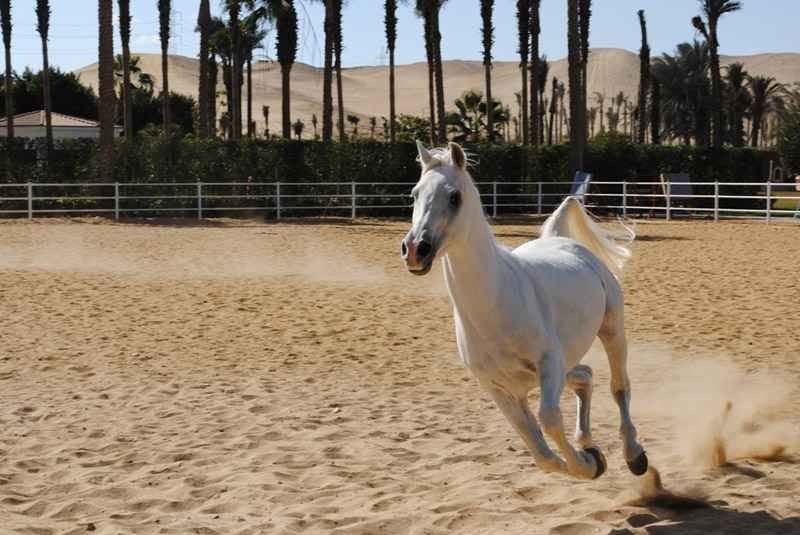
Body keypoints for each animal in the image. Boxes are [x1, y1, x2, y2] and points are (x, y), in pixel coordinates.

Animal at [400, 140, 648, 480]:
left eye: (454, 197)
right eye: (414, 194)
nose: (415, 250)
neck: (495, 306)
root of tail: (561, 241)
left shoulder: (549, 363)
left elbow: (550, 419)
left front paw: (588, 463)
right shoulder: (499, 387)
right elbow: (538, 449)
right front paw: (590, 459)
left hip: (612, 330)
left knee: (619, 387)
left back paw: (634, 454)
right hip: (564, 364)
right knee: (585, 375)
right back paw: (587, 442)